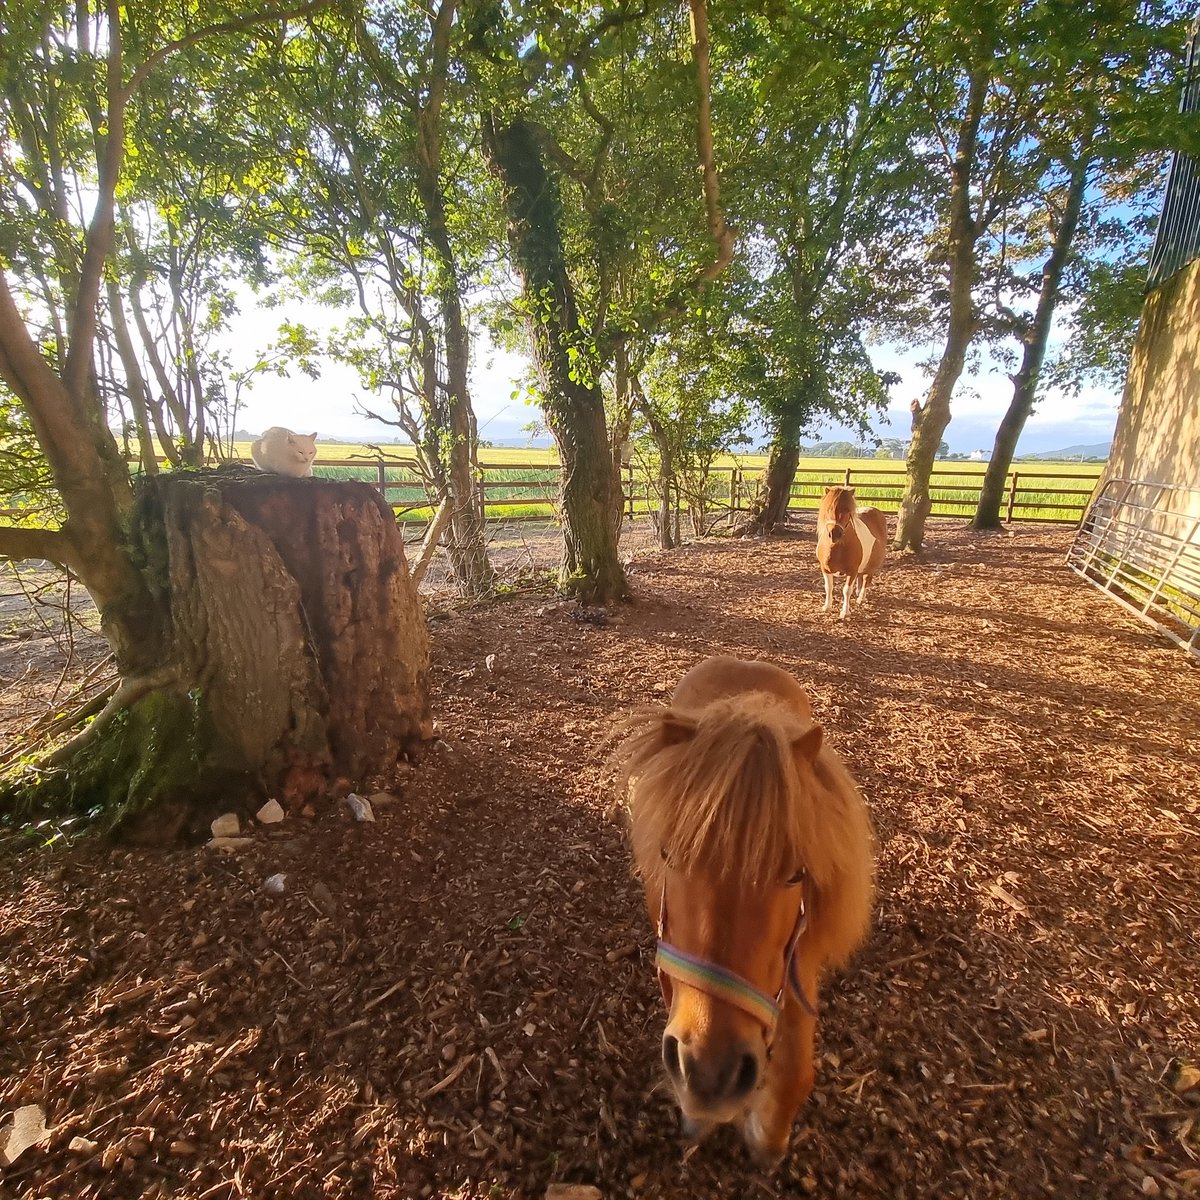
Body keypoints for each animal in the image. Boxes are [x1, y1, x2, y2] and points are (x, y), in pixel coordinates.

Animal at [611, 655, 875, 1167]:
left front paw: (768, 1135)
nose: (712, 1075)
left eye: (795, 875)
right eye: (668, 855)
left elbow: (796, 1068)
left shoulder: (798, 960)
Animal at [816, 487, 887, 619]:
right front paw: (827, 607)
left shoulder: (852, 571)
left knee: (866, 580)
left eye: (848, 510)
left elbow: (846, 590)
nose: (834, 534)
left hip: (871, 566)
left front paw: (845, 612)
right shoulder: (825, 569)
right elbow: (828, 587)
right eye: (829, 508)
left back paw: (861, 598)